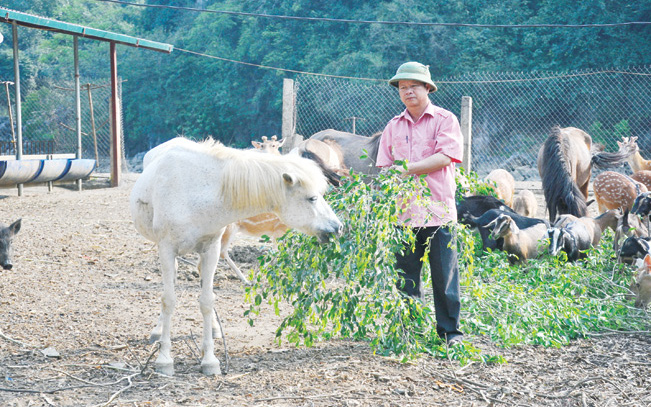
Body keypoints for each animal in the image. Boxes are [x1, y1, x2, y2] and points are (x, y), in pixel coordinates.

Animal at [129, 138, 342, 376]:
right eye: (312, 198)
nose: (338, 227)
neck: (197, 191)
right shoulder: (167, 249)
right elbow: (168, 300)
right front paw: (164, 359)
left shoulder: (211, 249)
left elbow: (207, 301)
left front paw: (209, 360)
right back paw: (158, 331)